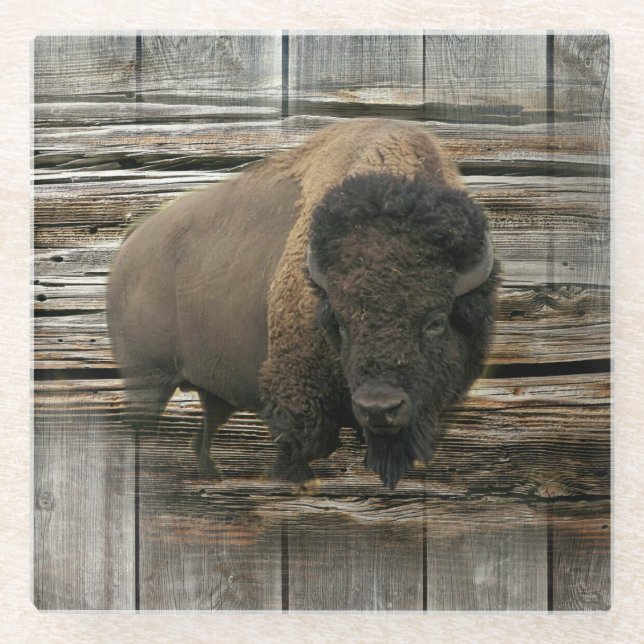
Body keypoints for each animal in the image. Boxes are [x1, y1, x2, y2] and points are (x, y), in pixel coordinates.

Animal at [107, 118, 498, 490]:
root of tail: (130, 244)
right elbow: (298, 449)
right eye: (339, 322)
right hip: (147, 380)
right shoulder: (298, 399)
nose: (379, 407)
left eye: (435, 322)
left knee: (201, 436)